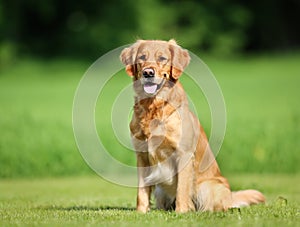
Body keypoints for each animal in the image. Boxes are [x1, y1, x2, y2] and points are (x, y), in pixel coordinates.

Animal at [119, 39, 264, 213]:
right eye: (141, 57)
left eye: (162, 58)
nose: (148, 73)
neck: (153, 107)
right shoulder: (142, 156)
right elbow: (142, 190)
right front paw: (141, 212)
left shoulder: (184, 154)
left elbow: (182, 188)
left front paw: (181, 211)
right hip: (161, 191)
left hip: (208, 188)